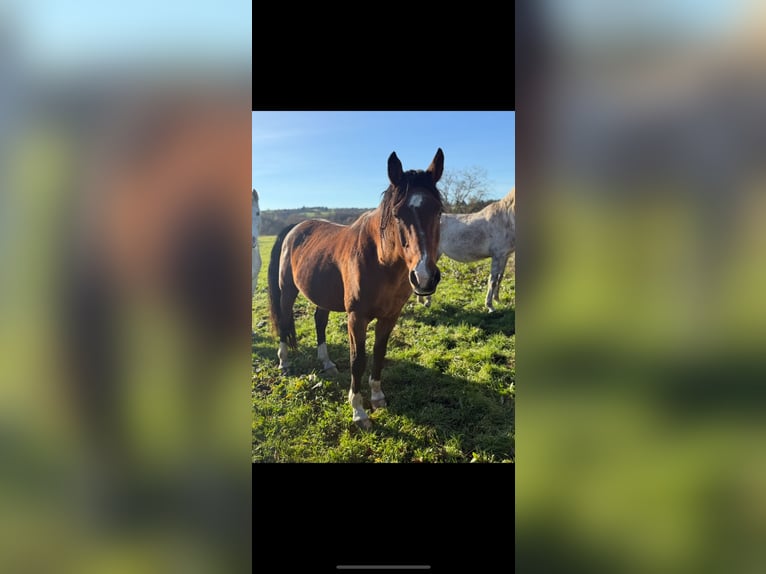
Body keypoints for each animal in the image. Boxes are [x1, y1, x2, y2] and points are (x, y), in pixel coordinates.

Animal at [267, 149, 445, 429]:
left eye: (438, 210)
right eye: (398, 214)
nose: (424, 277)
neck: (380, 261)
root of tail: (294, 229)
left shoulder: (390, 317)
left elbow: (379, 353)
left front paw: (378, 397)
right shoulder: (356, 318)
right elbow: (357, 360)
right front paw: (358, 410)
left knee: (319, 320)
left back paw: (327, 363)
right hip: (287, 291)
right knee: (285, 321)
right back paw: (284, 362)